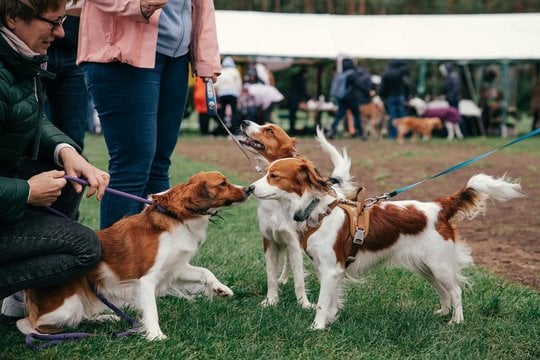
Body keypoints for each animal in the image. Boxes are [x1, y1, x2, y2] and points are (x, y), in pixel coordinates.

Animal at [16, 172, 249, 340]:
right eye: (222, 184)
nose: (248, 189)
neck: (177, 218)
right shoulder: (146, 279)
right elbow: (152, 309)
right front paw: (155, 335)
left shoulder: (175, 267)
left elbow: (204, 271)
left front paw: (220, 288)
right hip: (67, 305)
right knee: (27, 323)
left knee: (83, 314)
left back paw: (107, 317)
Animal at [237, 121, 354, 310]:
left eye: (269, 130)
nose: (244, 122)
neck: (279, 200)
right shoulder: (269, 240)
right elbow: (271, 276)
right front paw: (271, 300)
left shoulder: (295, 241)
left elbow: (299, 278)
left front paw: (303, 304)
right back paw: (284, 278)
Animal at [249, 158, 524, 330]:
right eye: (265, 173)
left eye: (274, 176)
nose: (250, 188)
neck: (317, 210)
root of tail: (439, 206)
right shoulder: (328, 269)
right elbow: (331, 300)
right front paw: (331, 320)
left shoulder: (330, 269)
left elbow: (321, 302)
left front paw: (317, 327)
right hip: (427, 267)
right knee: (443, 291)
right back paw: (443, 312)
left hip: (439, 266)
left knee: (455, 291)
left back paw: (456, 321)